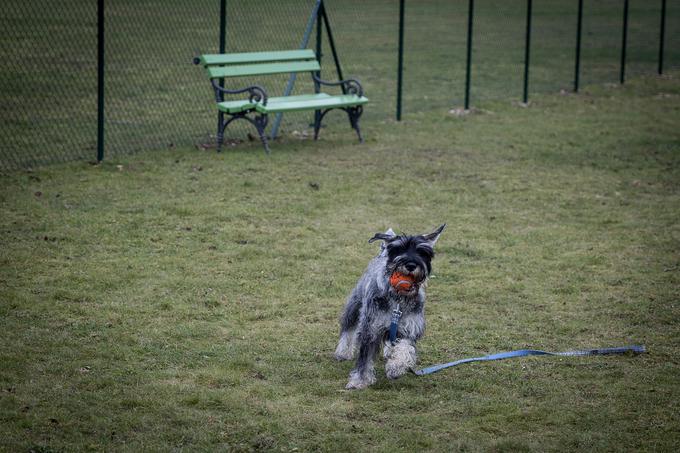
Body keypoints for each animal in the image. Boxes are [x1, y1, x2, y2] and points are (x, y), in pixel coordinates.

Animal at [334, 224, 446, 386]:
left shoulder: (410, 329)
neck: (398, 299)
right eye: (398, 249)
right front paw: (360, 381)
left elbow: (405, 348)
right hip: (354, 305)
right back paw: (343, 352)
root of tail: (381, 254)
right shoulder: (370, 328)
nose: (411, 265)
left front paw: (396, 367)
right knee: (348, 328)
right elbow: (365, 358)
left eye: (422, 252)